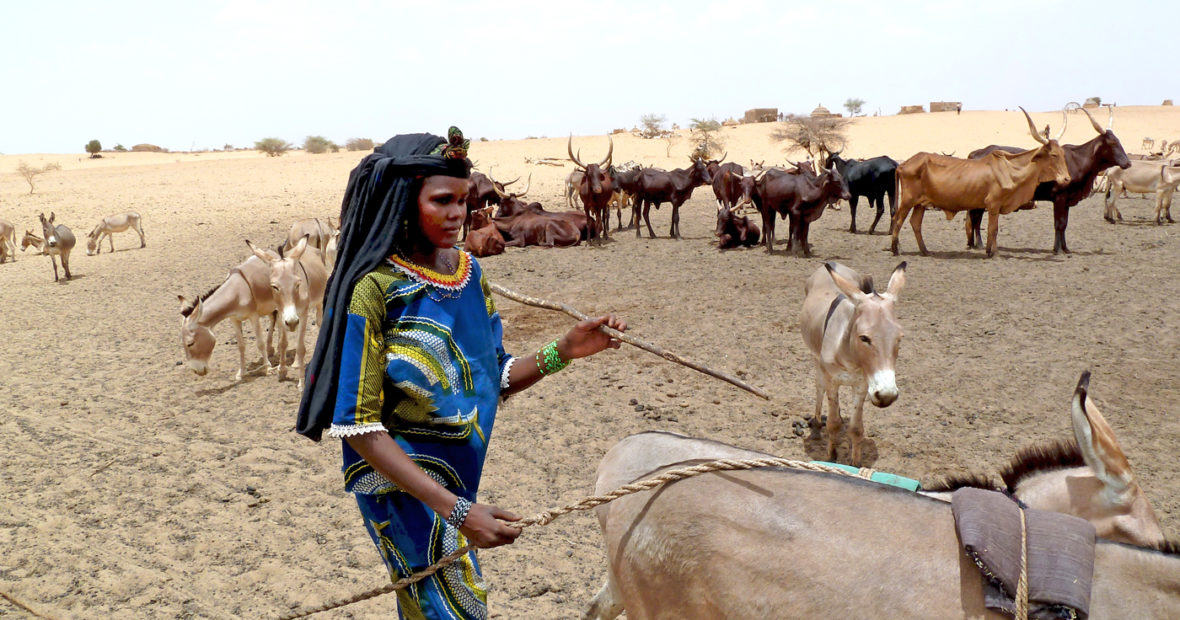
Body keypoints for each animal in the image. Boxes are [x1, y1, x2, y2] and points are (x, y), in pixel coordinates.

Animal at [892, 107, 1071, 257]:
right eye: (1053, 155)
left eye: (1063, 154)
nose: (1067, 179)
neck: (1010, 169)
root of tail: (903, 164)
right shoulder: (993, 204)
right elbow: (993, 229)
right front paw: (993, 252)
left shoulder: (995, 206)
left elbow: (993, 229)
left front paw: (992, 250)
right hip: (908, 200)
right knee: (898, 220)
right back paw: (895, 250)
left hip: (920, 204)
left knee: (915, 223)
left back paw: (925, 251)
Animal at [967, 106, 1132, 253]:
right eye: (1112, 143)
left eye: (1119, 141)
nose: (1128, 163)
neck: (1078, 160)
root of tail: (978, 152)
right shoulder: (1059, 197)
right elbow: (1058, 224)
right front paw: (1057, 249)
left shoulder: (1067, 201)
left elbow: (1064, 224)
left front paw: (1065, 248)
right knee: (976, 218)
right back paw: (979, 244)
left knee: (975, 218)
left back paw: (974, 244)